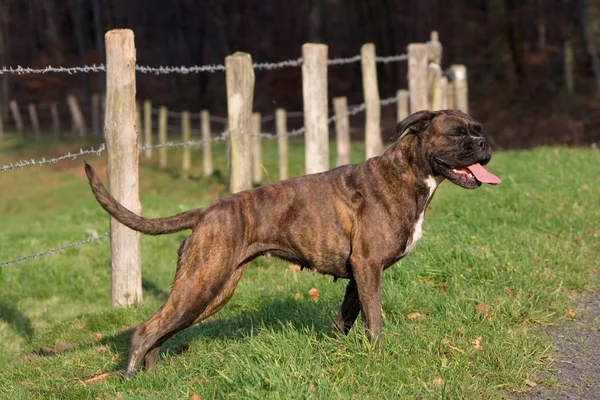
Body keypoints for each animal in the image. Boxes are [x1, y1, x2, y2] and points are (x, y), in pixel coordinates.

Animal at [82, 108, 500, 376]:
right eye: (458, 134)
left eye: (478, 128)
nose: (484, 142)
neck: (407, 173)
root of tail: (206, 211)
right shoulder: (368, 268)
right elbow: (375, 320)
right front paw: (378, 360)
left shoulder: (358, 276)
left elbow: (346, 318)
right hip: (200, 286)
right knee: (145, 331)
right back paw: (130, 380)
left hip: (211, 292)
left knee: (160, 333)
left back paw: (152, 379)